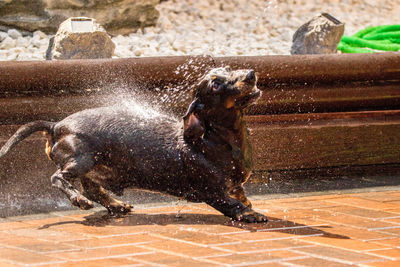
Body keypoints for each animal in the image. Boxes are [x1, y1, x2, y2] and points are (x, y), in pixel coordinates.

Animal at [0, 67, 268, 224]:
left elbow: (241, 196)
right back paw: (79, 200)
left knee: (92, 189)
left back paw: (115, 204)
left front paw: (249, 206)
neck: (217, 140)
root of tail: (56, 126)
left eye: (229, 69)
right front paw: (251, 214)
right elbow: (232, 204)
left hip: (93, 166)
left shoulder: (235, 185)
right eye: (215, 84)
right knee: (59, 178)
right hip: (81, 159)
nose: (250, 74)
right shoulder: (210, 190)